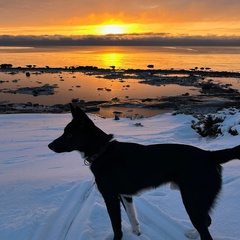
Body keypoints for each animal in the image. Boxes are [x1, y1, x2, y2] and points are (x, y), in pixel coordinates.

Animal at [48, 104, 240, 240]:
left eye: (69, 134)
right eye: (64, 132)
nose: (49, 146)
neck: (102, 151)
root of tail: (209, 155)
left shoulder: (110, 197)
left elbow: (117, 227)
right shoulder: (125, 195)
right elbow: (133, 217)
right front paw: (136, 234)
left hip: (192, 200)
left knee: (206, 231)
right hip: (197, 201)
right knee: (207, 221)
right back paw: (193, 234)